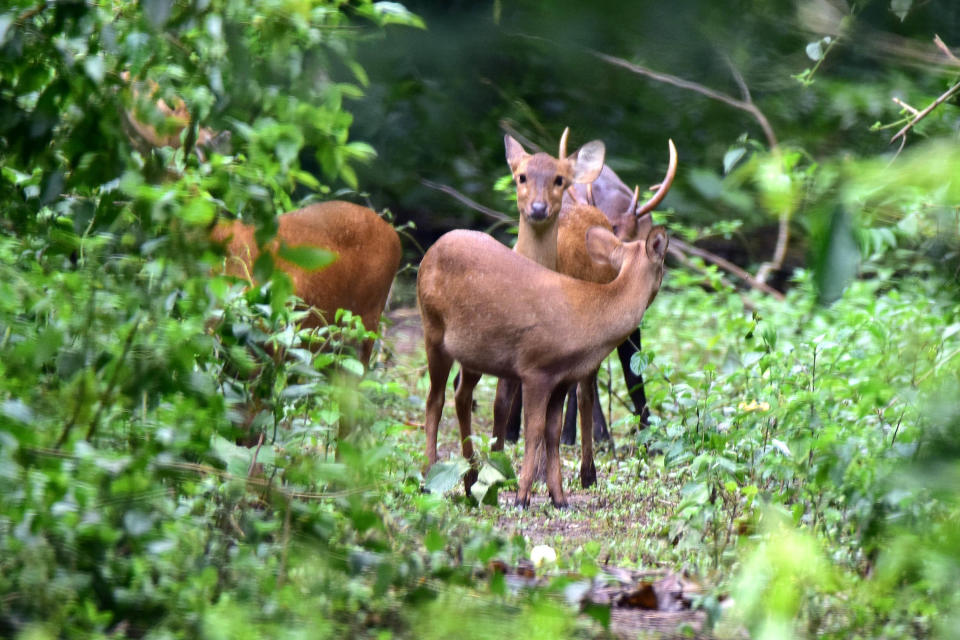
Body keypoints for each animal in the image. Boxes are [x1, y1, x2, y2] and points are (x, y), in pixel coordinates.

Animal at [420, 222, 668, 508]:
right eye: (663, 265)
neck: (589, 317)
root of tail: (431, 250)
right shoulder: (535, 369)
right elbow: (534, 431)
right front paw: (522, 497)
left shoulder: (562, 378)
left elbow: (553, 432)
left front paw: (558, 497)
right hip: (432, 328)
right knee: (435, 400)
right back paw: (428, 480)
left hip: (473, 352)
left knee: (461, 395)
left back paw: (471, 482)